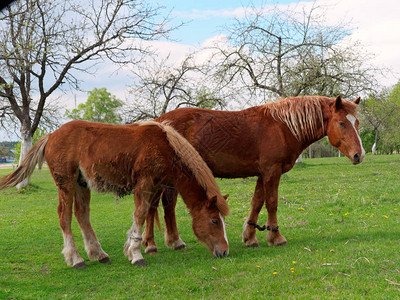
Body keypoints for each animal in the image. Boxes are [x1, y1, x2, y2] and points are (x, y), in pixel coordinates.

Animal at [0, 120, 230, 268]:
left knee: (82, 215)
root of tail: (50, 136)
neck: (163, 146)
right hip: (66, 184)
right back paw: (76, 259)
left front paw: (134, 248)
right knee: (64, 217)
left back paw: (98, 254)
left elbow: (146, 213)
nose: (225, 251)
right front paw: (136, 254)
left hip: (82, 184)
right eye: (214, 221)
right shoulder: (144, 183)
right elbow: (140, 214)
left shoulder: (155, 186)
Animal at [142, 94, 364, 253]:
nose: (359, 155)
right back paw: (160, 243)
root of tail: (158, 122)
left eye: (357, 123)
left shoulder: (262, 173)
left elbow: (257, 202)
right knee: (159, 205)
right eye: (342, 123)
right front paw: (275, 237)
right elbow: (272, 202)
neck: (283, 126)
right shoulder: (272, 171)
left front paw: (250, 237)